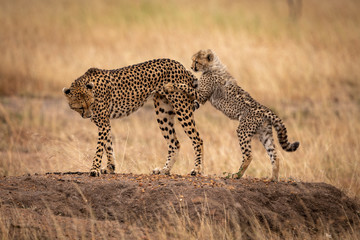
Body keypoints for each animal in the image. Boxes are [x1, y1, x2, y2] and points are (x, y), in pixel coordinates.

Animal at [63, 59, 204, 177]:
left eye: (91, 104)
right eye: (80, 107)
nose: (89, 116)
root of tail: (180, 65)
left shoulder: (103, 122)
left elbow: (99, 148)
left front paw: (94, 169)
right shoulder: (104, 123)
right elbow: (108, 145)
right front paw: (110, 168)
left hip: (182, 108)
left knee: (198, 139)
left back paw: (197, 170)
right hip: (163, 112)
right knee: (174, 143)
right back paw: (164, 170)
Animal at [165, 49, 300, 180]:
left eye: (196, 61)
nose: (191, 67)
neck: (212, 66)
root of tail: (265, 109)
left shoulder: (202, 94)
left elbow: (186, 87)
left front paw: (170, 85)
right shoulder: (201, 95)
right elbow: (194, 99)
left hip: (243, 131)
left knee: (249, 155)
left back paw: (237, 174)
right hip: (265, 133)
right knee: (275, 155)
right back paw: (273, 178)